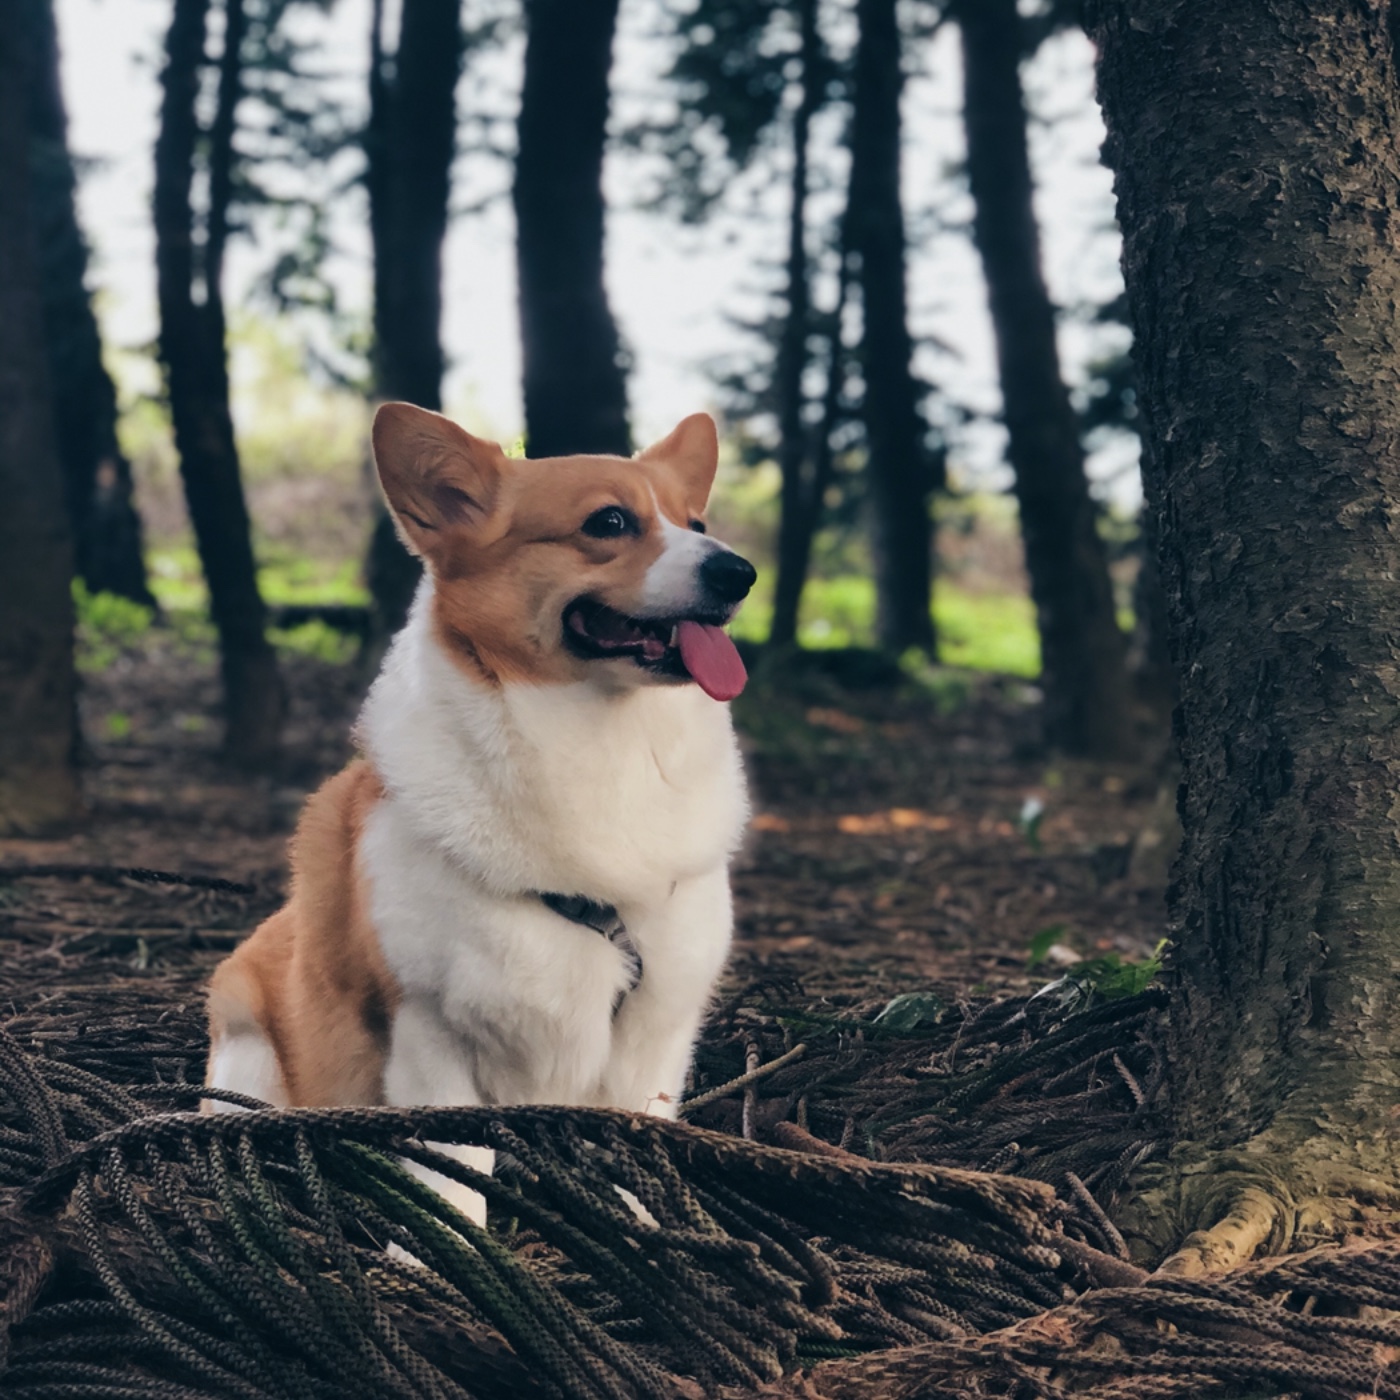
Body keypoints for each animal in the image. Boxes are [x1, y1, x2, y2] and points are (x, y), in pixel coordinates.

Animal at [204, 408, 756, 1226]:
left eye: (699, 523)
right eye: (609, 521)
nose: (738, 573)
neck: (602, 741)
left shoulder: (655, 1030)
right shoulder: (430, 1031)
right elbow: (452, 1174)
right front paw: (443, 1248)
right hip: (246, 1040)